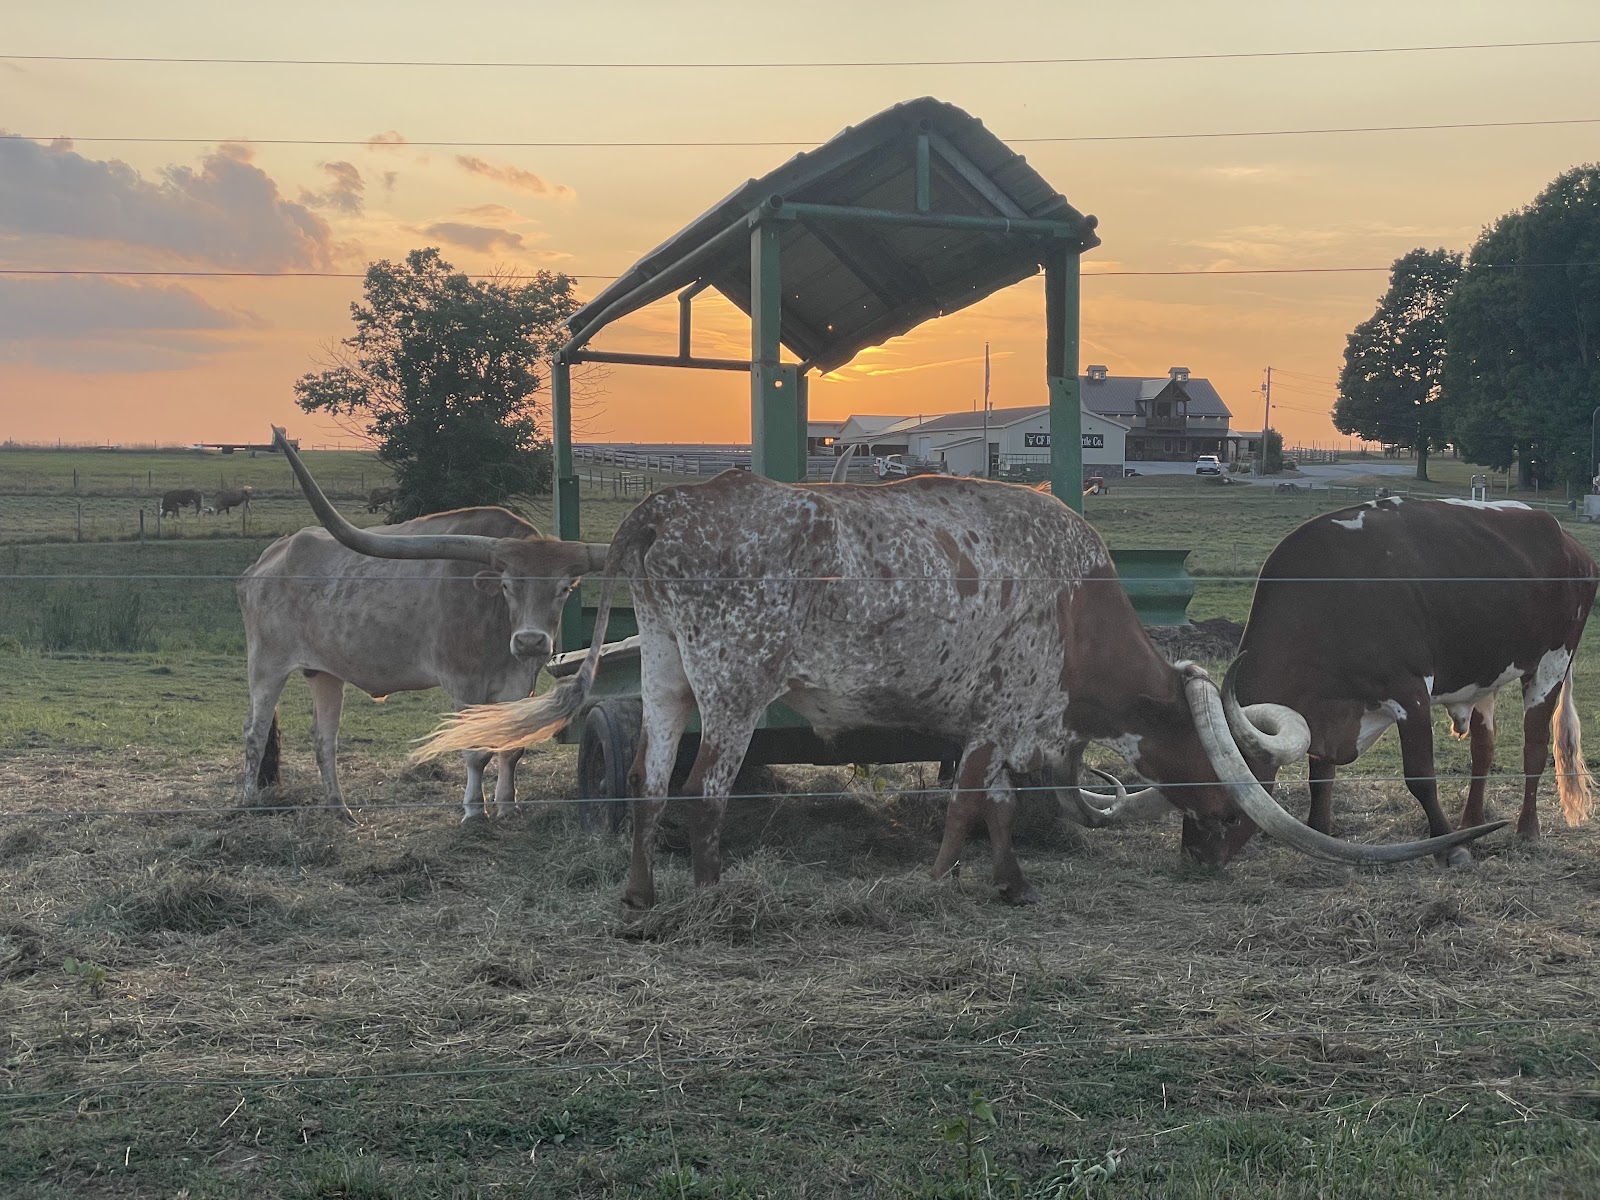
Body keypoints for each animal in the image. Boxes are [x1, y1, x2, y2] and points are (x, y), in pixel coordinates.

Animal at [243, 428, 609, 822]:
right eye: (507, 586)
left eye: (564, 589)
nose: (530, 642)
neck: (495, 623)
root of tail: (269, 558)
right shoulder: (465, 685)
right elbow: (475, 750)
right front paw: (474, 811)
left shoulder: (519, 684)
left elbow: (510, 746)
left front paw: (507, 806)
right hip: (266, 666)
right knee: (255, 733)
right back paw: (248, 801)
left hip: (324, 672)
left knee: (324, 738)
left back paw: (339, 808)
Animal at [415, 469, 1503, 913]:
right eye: (1220, 778)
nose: (1214, 852)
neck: (1079, 606)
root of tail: (667, 505)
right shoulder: (1010, 708)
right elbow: (991, 801)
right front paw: (997, 882)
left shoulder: (982, 717)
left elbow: (973, 802)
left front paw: (952, 876)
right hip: (734, 682)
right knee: (703, 793)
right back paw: (716, 902)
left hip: (669, 679)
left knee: (645, 786)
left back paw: (642, 894)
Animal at [1214, 496, 1596, 864]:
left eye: (1229, 813)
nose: (1202, 858)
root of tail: (1569, 542)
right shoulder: (1326, 712)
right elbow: (1320, 776)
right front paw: (1320, 832)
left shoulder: (1410, 693)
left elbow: (1421, 777)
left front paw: (1450, 849)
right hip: (1484, 674)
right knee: (1483, 750)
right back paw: (1470, 824)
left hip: (1551, 664)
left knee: (1534, 748)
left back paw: (1526, 830)